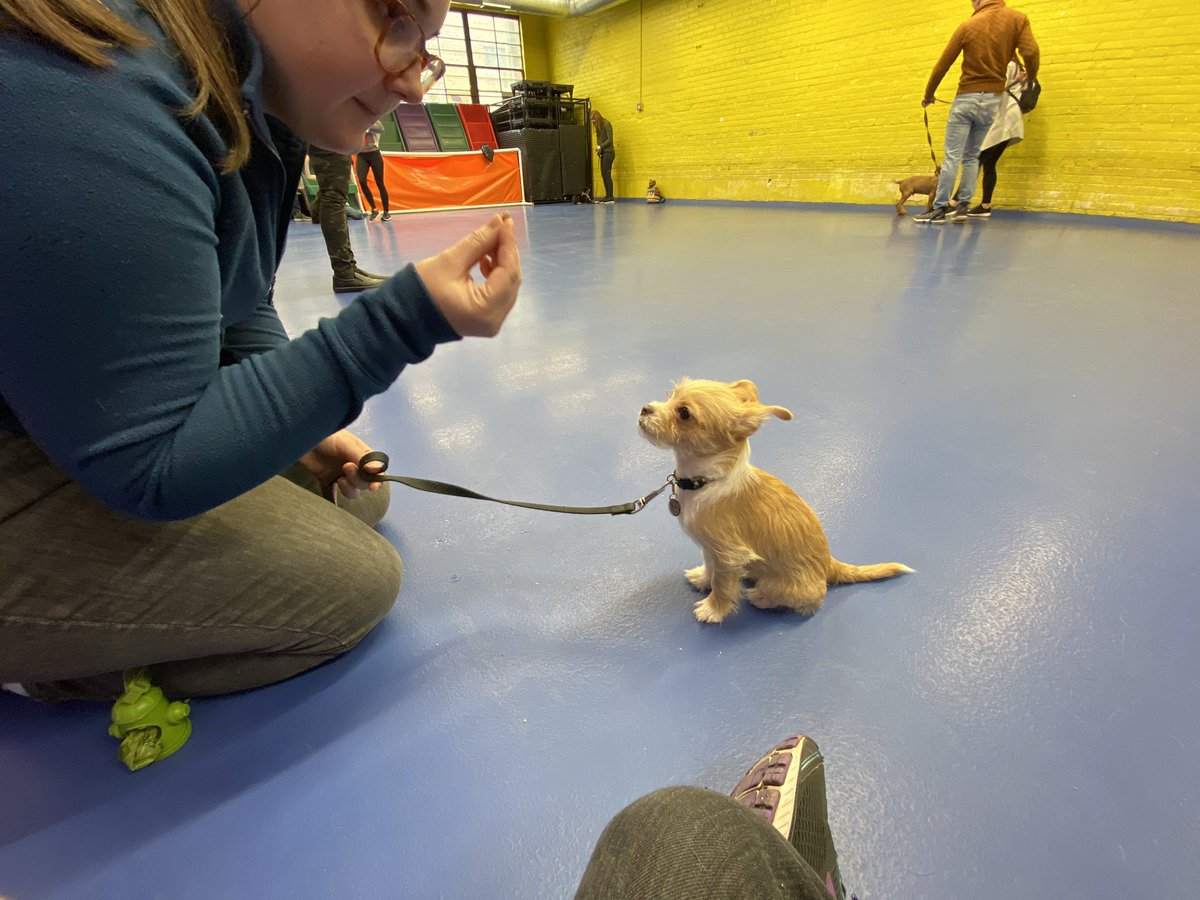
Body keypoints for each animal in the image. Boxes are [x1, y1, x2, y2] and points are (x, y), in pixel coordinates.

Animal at [638, 376, 907, 624]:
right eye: (670, 395)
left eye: (684, 413)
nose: (644, 408)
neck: (704, 482)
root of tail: (830, 565)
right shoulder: (712, 548)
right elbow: (710, 568)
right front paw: (703, 579)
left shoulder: (728, 554)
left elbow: (722, 584)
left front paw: (713, 610)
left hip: (790, 586)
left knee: (809, 601)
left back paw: (762, 597)